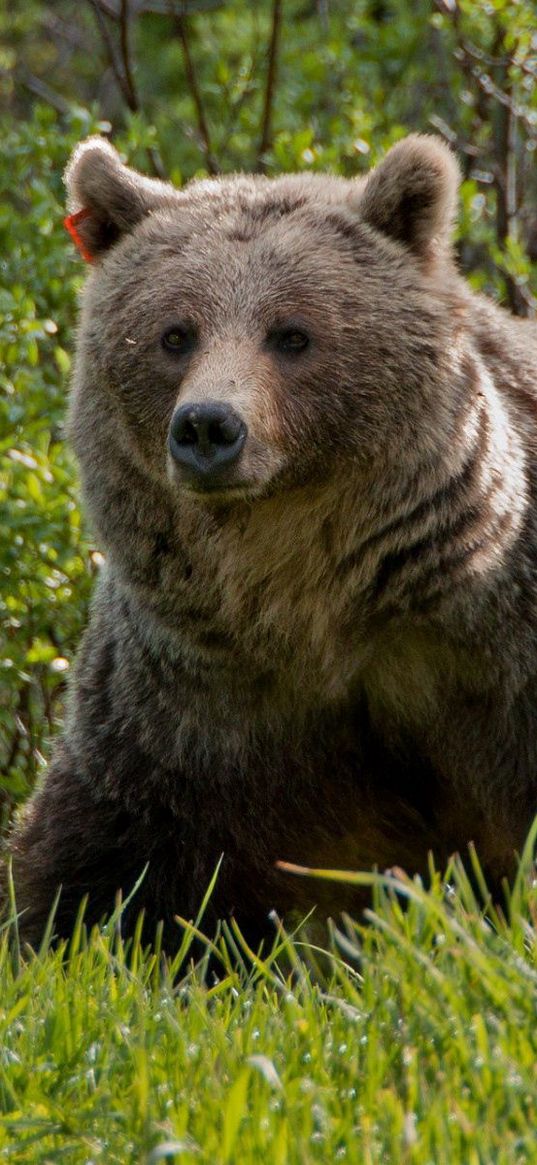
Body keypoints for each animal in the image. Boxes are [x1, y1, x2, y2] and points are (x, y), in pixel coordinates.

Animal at [6, 136, 535, 955]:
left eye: (291, 334)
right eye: (174, 333)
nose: (207, 426)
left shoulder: (495, 658)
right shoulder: (186, 713)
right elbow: (94, 865)